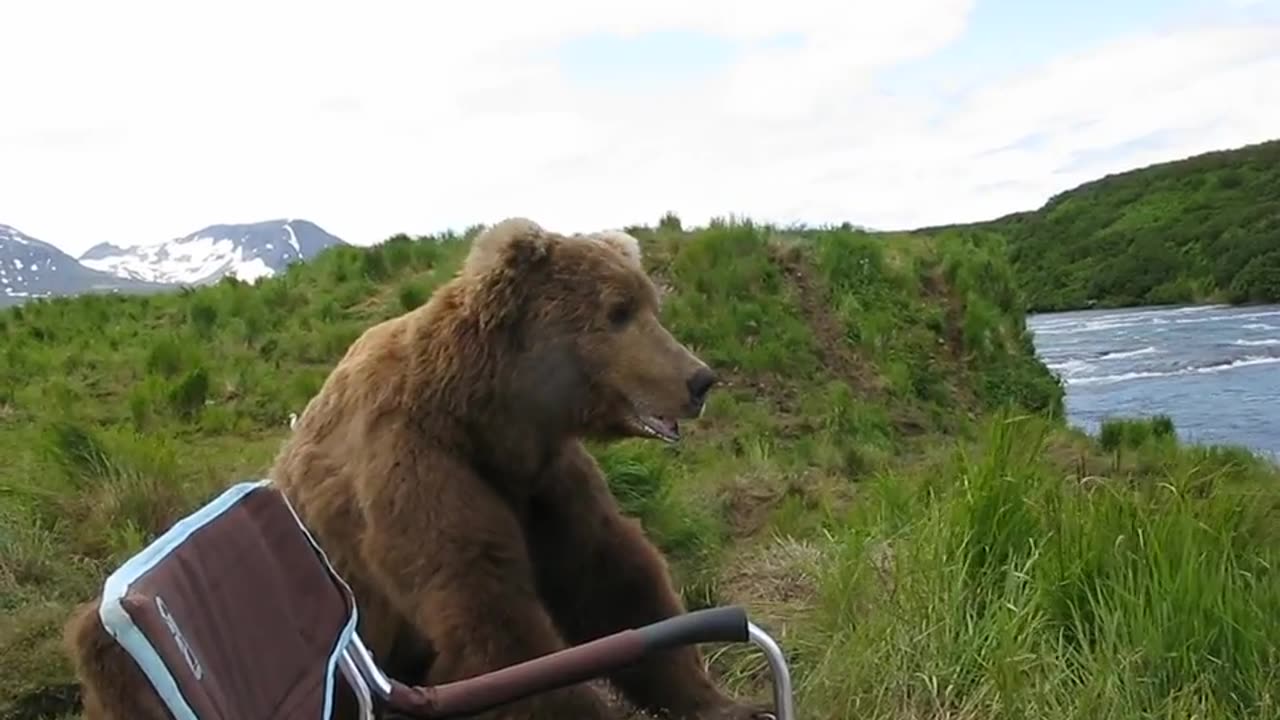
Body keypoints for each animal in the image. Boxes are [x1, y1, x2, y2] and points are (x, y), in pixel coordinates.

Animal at [62, 217, 768, 717]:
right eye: (617, 313)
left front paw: (721, 701)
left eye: (651, 306)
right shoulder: (414, 464)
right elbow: (491, 620)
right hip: (119, 661)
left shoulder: (540, 480)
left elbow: (612, 578)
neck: (485, 415)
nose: (699, 379)